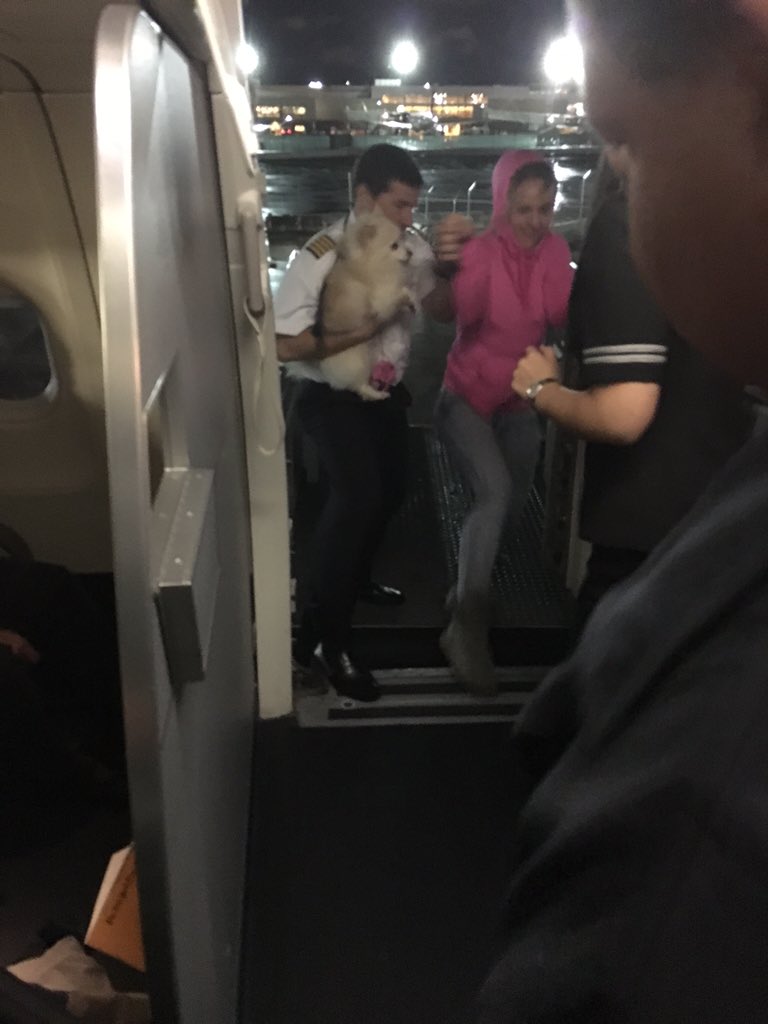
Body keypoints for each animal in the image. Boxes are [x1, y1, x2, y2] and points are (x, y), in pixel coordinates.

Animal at [287, 212, 414, 401]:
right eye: (394, 246)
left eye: (403, 241)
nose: (410, 252)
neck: (370, 260)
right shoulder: (381, 296)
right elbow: (400, 292)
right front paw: (410, 297)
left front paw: (411, 305)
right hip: (358, 360)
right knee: (359, 386)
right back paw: (377, 394)